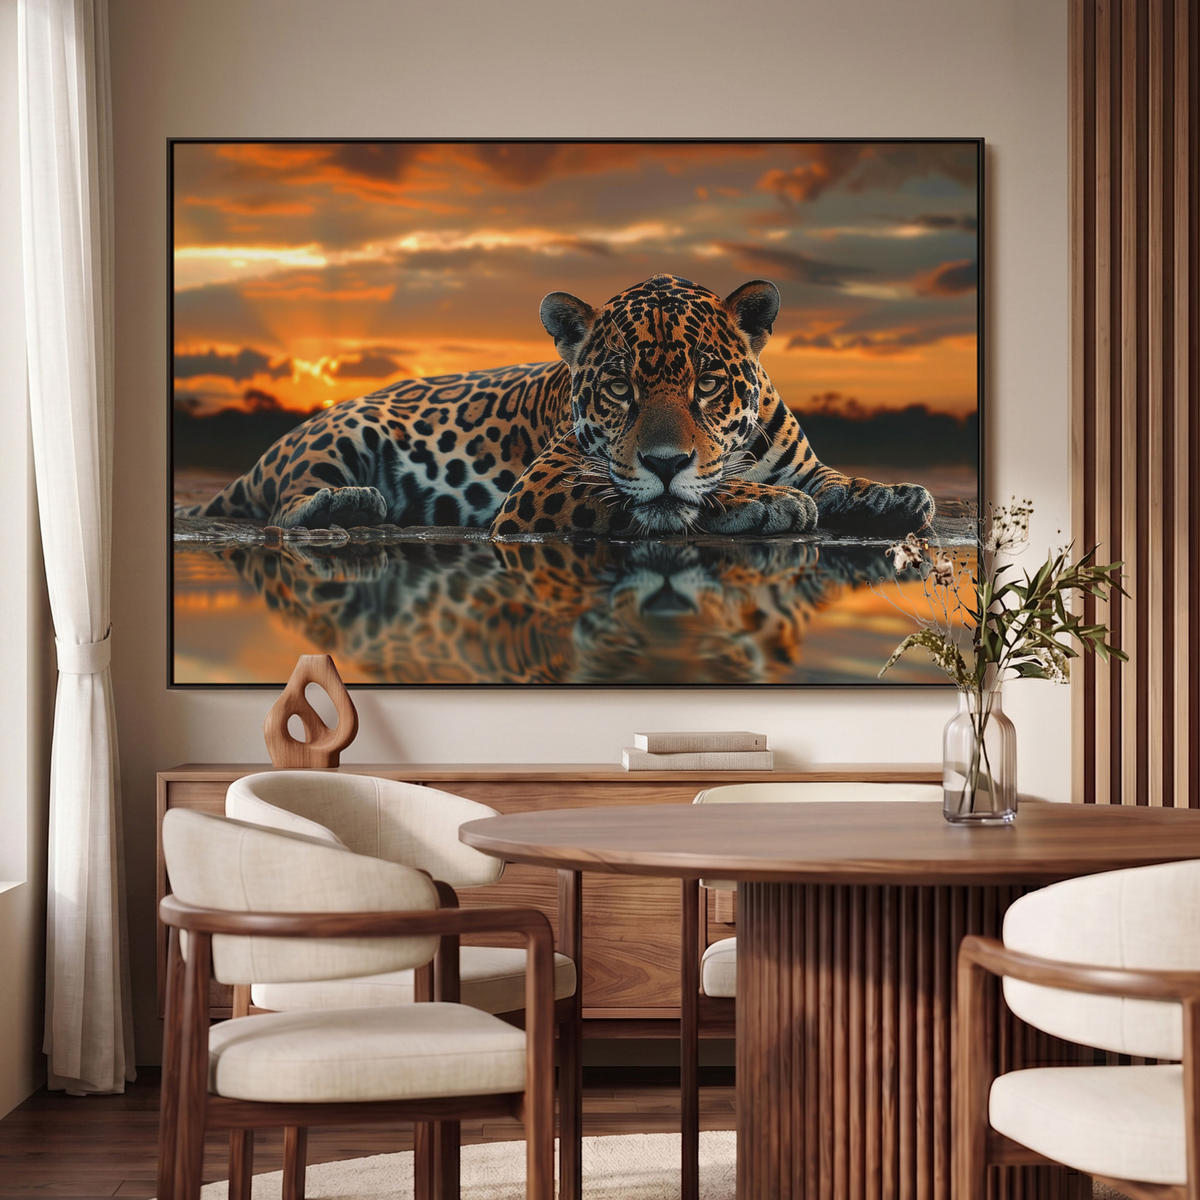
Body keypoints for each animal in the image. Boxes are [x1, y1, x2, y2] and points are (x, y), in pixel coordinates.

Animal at [176, 274, 934, 539]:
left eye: (708, 385)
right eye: (620, 388)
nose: (665, 460)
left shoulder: (804, 463)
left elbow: (837, 480)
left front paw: (894, 496)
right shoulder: (548, 482)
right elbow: (669, 497)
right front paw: (762, 501)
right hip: (340, 434)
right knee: (284, 505)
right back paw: (350, 504)